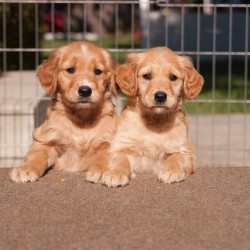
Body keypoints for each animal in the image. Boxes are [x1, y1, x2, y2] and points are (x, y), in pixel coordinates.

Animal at [10, 40, 116, 182]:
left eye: (98, 71)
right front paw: (27, 169)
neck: (82, 118)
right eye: (70, 69)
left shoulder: (109, 140)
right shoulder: (45, 139)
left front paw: (100, 170)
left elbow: (104, 155)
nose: (85, 91)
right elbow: (37, 155)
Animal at [102, 47, 204, 188]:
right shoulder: (121, 147)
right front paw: (115, 174)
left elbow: (175, 158)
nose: (160, 96)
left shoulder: (184, 152)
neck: (155, 121)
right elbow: (120, 160)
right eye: (147, 76)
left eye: (173, 77)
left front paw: (171, 172)